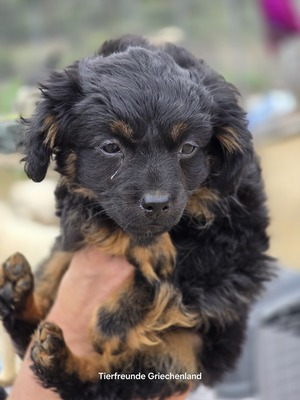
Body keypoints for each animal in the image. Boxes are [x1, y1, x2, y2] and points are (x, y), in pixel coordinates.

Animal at [0, 36, 272, 398]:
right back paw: (17, 298)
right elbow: (93, 218)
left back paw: (55, 354)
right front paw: (148, 246)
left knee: (99, 382)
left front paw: (114, 320)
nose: (156, 204)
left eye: (188, 148)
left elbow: (187, 266)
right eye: (110, 147)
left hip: (179, 354)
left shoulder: (240, 245)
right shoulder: (79, 208)